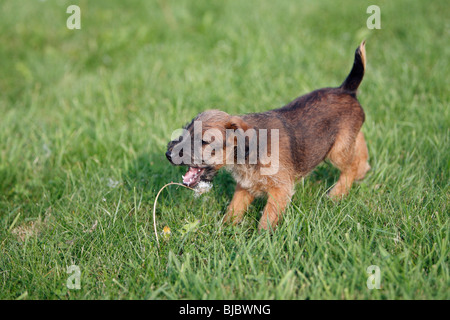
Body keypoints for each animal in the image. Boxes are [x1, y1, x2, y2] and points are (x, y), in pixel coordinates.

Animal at [167, 41, 370, 231]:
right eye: (186, 130)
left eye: (204, 141)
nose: (168, 154)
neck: (247, 153)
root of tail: (345, 89)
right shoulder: (245, 186)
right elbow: (234, 208)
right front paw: (225, 229)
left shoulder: (280, 189)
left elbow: (268, 216)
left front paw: (263, 237)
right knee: (359, 147)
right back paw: (363, 170)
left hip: (337, 151)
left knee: (350, 167)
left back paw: (337, 194)